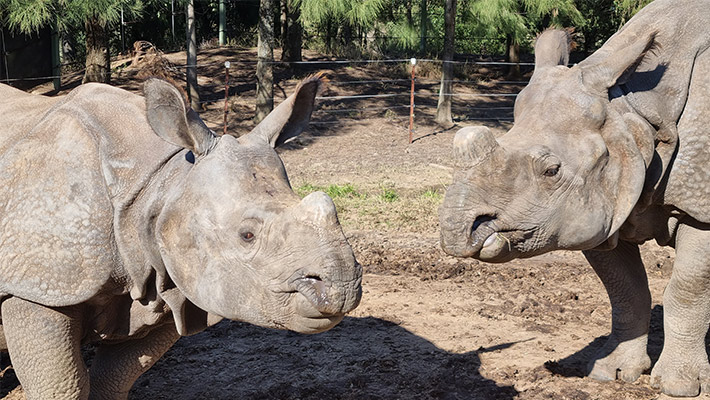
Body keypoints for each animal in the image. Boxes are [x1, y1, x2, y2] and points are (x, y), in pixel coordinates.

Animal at [0, 74, 362, 399]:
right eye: (247, 235)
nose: (344, 287)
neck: (160, 186)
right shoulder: (35, 287)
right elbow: (64, 388)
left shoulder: (164, 287)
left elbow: (114, 380)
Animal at [439, 0, 710, 396]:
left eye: (551, 171)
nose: (459, 231)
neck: (636, 112)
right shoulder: (602, 208)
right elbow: (625, 290)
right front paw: (611, 373)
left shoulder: (700, 210)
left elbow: (687, 291)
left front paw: (679, 386)